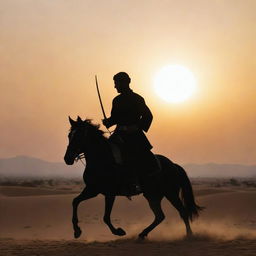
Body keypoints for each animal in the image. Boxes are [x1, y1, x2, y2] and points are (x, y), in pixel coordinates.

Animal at [63, 116, 202, 240]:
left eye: (79, 136)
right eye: (69, 136)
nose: (67, 159)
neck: (102, 159)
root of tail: (174, 165)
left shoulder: (109, 193)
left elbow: (106, 217)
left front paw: (119, 231)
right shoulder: (92, 189)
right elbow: (75, 201)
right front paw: (77, 231)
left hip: (170, 193)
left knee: (182, 212)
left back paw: (189, 235)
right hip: (153, 195)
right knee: (160, 216)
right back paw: (142, 234)